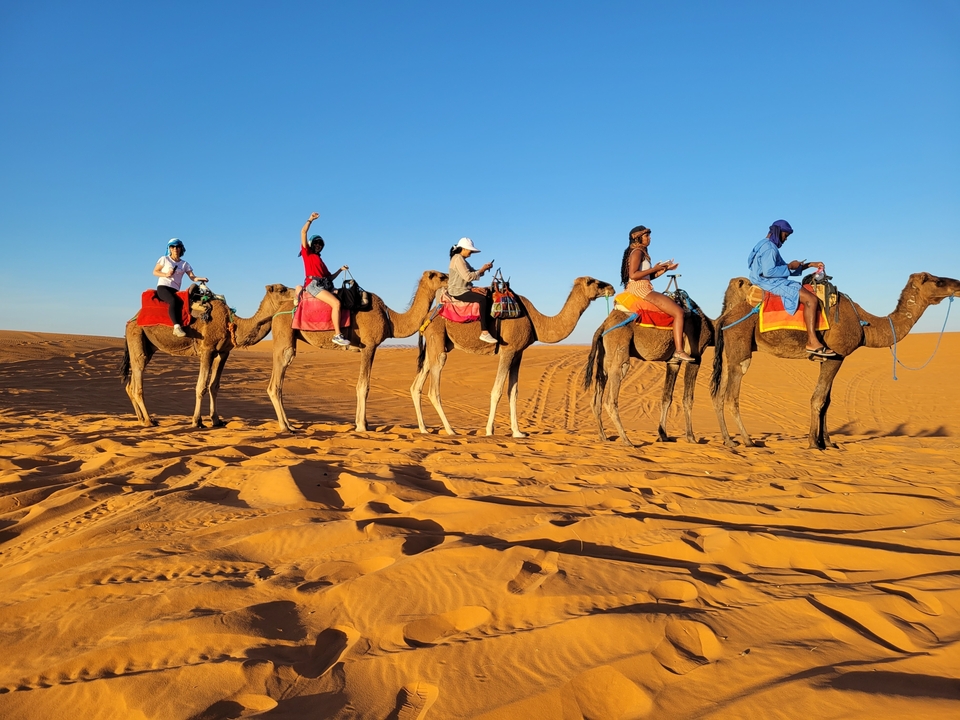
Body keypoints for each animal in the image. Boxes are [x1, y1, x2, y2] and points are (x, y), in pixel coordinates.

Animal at [121, 284, 296, 428]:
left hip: (148, 345)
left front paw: (216, 420)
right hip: (136, 335)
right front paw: (197, 421)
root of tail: (130, 320)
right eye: (282, 289)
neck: (232, 324)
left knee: (131, 383)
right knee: (138, 381)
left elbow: (214, 386)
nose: (298, 292)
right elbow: (201, 386)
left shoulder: (223, 353)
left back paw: (142, 419)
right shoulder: (207, 349)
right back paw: (148, 421)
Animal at [267, 270, 448, 432]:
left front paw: (363, 423)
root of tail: (277, 313)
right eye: (441, 276)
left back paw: (290, 425)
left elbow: (362, 384)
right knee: (278, 377)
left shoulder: (368, 348)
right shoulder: (369, 346)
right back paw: (284, 426)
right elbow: (364, 386)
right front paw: (361, 426)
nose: (450, 282)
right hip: (284, 334)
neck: (390, 318)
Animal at [411, 276, 615, 438]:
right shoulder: (507, 350)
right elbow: (497, 391)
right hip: (437, 339)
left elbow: (513, 392)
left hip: (437, 344)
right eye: (593, 281)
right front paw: (489, 431)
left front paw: (518, 432)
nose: (611, 288)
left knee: (417, 384)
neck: (536, 321)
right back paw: (450, 430)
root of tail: (426, 318)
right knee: (434, 388)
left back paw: (424, 429)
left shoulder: (518, 353)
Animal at [583, 301, 716, 446]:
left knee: (597, 395)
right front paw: (691, 438)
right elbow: (688, 399)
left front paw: (663, 436)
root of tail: (603, 326)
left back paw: (604, 436)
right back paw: (627, 441)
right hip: (618, 348)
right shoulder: (695, 357)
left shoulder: (673, 362)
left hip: (604, 357)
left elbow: (666, 398)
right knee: (611, 398)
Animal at [711, 272, 960, 449]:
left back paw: (729, 440)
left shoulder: (828, 357)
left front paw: (829, 442)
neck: (865, 324)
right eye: (938, 281)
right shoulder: (837, 355)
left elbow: (827, 401)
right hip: (741, 349)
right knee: (731, 396)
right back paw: (748, 441)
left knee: (719, 395)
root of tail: (725, 317)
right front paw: (814, 443)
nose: (958, 285)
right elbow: (818, 399)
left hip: (731, 352)